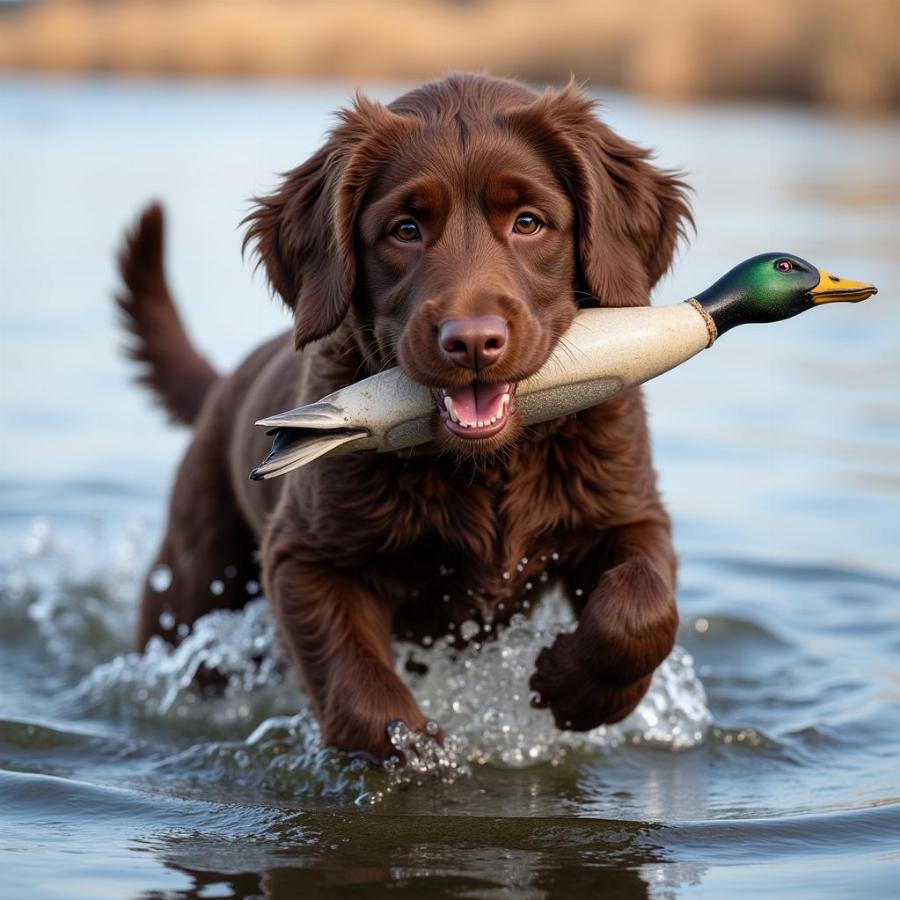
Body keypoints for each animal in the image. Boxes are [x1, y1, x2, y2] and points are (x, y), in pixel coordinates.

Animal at [118, 74, 688, 760]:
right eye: (406, 228)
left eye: (528, 222)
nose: (472, 342)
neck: (487, 465)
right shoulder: (306, 555)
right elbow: (358, 689)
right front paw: (418, 754)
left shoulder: (628, 509)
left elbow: (641, 610)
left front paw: (577, 691)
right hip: (195, 588)